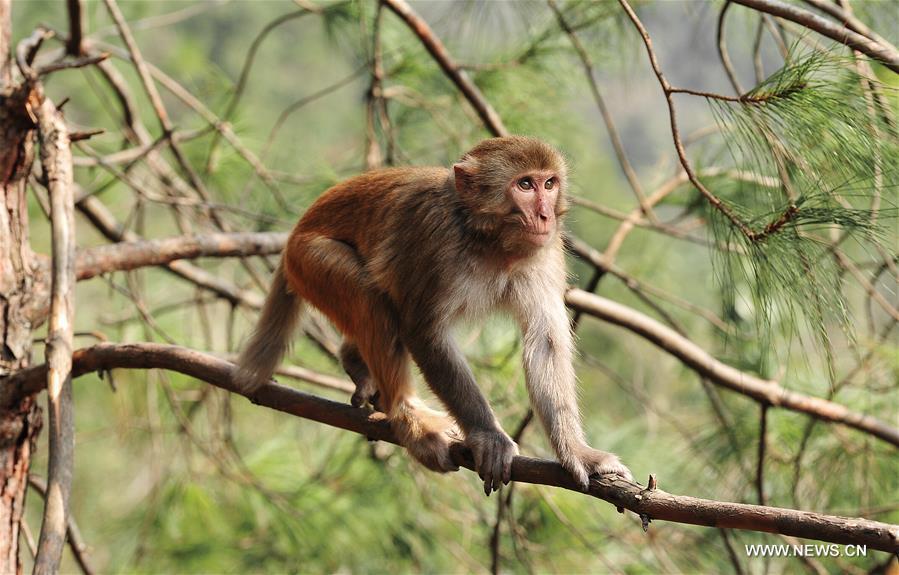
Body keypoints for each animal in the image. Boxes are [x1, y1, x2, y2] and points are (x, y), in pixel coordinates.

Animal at [237, 136, 632, 496]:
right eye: (524, 185)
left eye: (549, 184)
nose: (546, 215)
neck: (487, 240)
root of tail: (294, 234)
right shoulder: (434, 243)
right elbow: (424, 333)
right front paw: (488, 435)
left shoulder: (545, 252)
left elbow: (545, 342)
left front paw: (577, 452)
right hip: (311, 262)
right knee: (369, 296)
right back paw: (408, 417)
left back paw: (356, 362)